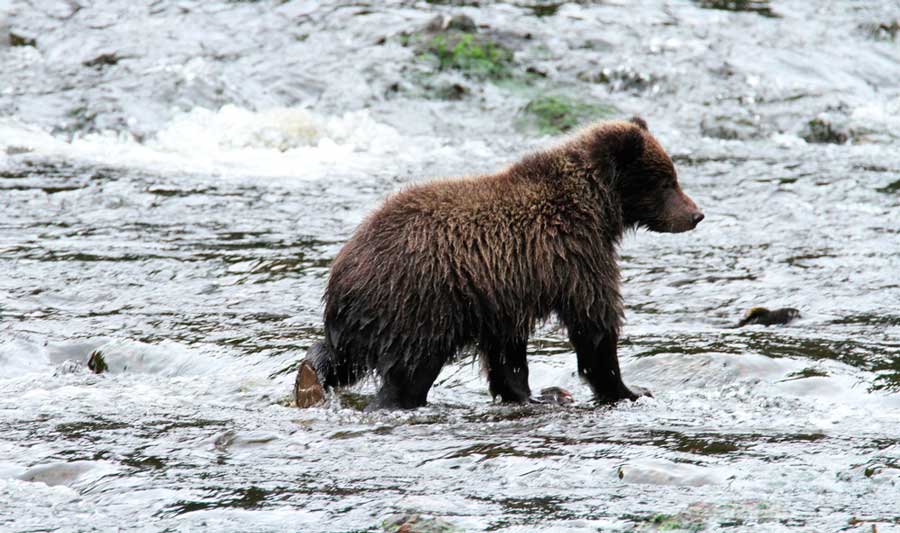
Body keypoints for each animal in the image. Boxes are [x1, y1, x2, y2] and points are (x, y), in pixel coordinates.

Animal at [294, 116, 704, 410]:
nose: (696, 214)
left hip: (366, 317)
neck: (598, 206)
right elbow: (594, 321)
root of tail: (344, 270)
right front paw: (629, 389)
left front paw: (532, 394)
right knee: (409, 372)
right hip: (418, 303)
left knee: (339, 357)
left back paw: (308, 378)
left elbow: (507, 352)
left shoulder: (502, 290)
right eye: (667, 180)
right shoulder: (574, 254)